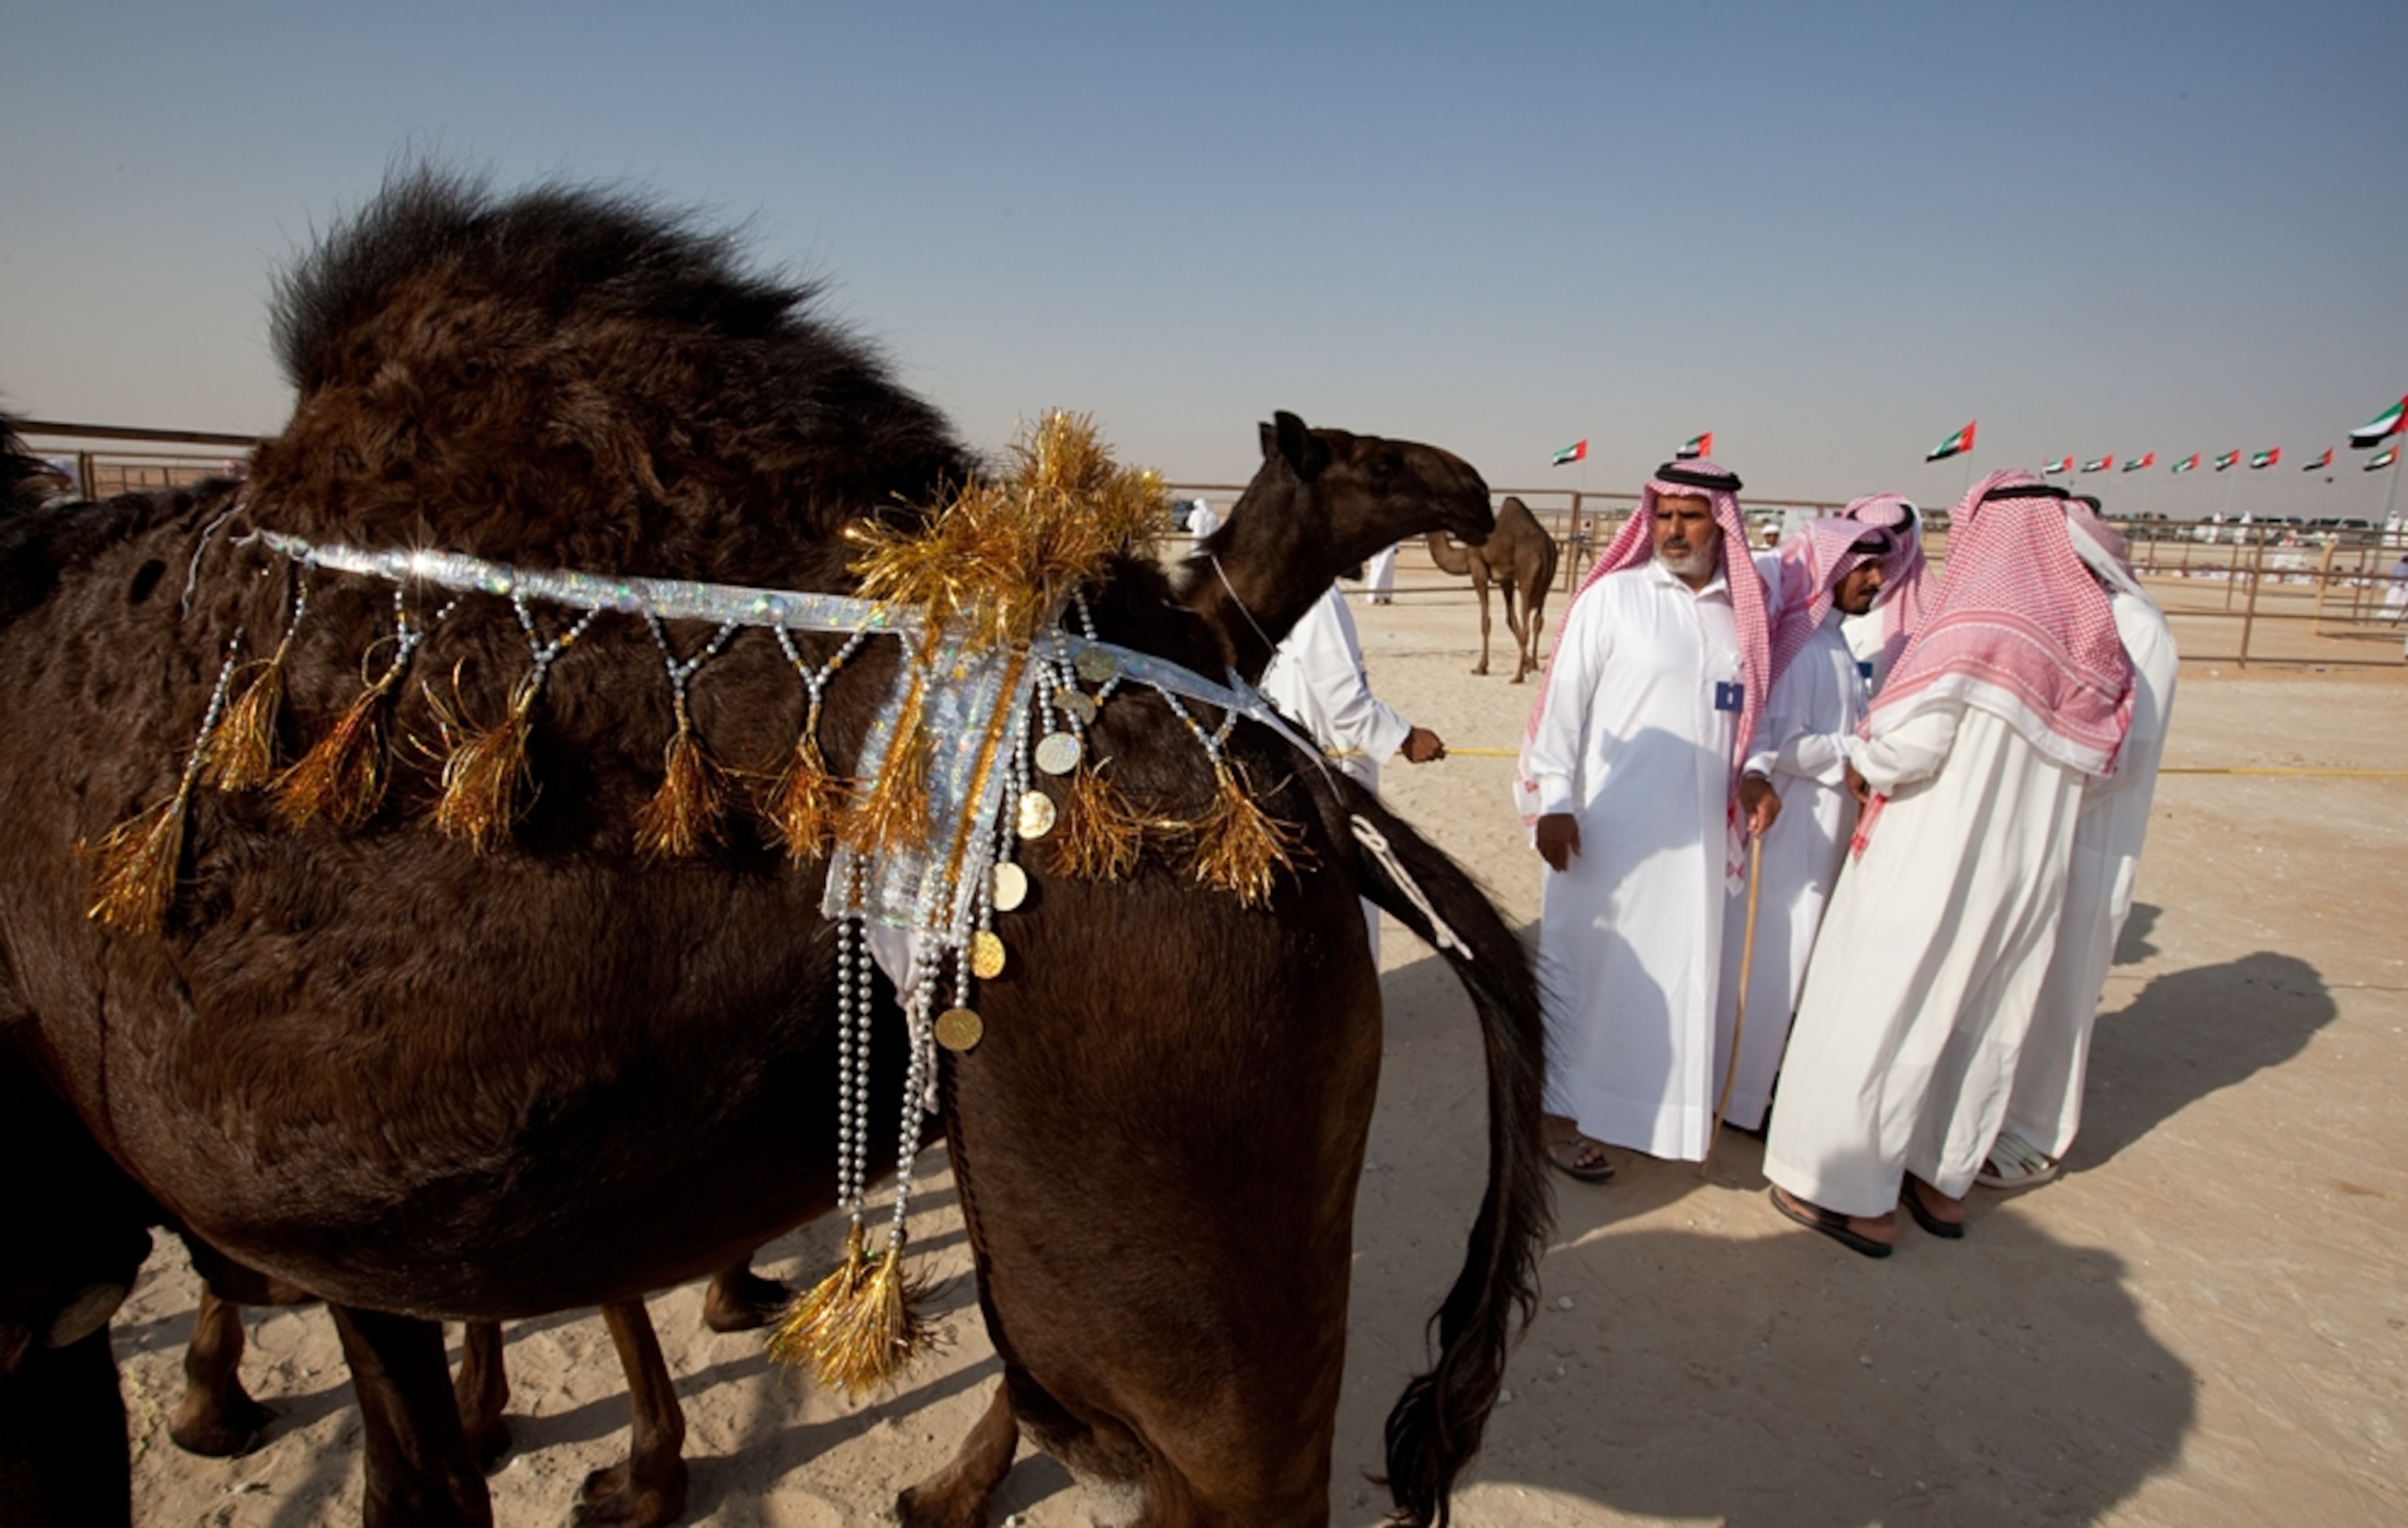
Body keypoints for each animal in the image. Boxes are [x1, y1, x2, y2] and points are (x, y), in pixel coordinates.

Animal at [1425, 494, 1560, 682]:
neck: (1465, 554)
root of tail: (1547, 548)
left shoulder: (1478, 571)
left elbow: (1485, 621)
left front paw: (1481, 667)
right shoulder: (1506, 580)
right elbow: (1511, 620)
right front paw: (1529, 664)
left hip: (1527, 577)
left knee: (1527, 622)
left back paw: (1517, 677)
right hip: (1547, 584)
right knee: (1538, 621)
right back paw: (1533, 665)